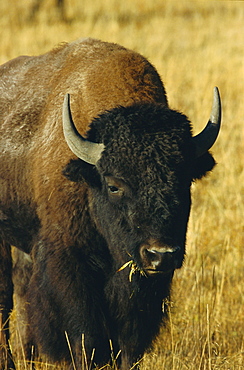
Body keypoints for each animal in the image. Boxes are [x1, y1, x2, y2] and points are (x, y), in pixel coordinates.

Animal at [0, 38, 221, 370]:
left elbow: (130, 340)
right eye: (114, 185)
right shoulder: (70, 261)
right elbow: (86, 335)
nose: (160, 254)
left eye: (185, 181)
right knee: (5, 297)